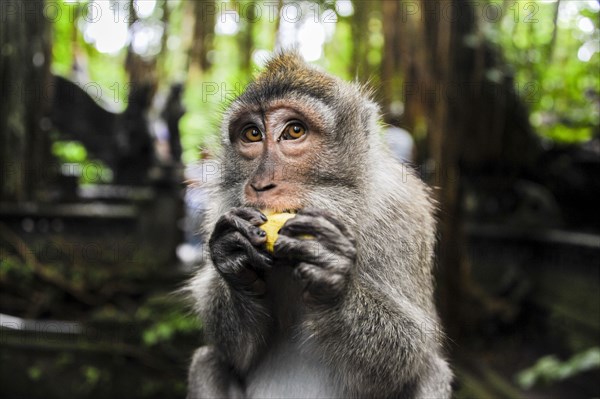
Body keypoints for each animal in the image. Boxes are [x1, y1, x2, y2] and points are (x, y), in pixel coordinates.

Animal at [185, 53, 452, 399]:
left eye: (294, 131)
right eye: (252, 134)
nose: (260, 184)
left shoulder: (405, 214)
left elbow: (412, 350)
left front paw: (333, 284)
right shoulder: (219, 210)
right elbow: (233, 353)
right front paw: (233, 259)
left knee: (431, 372)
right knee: (208, 361)